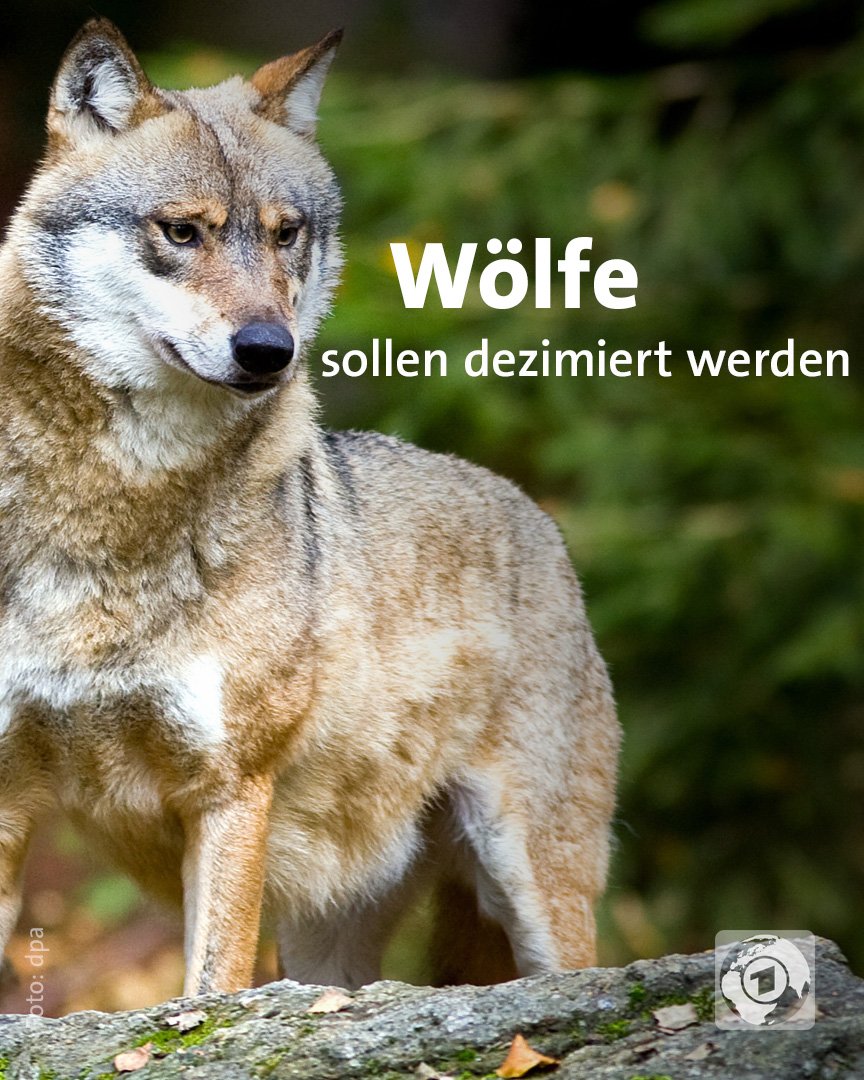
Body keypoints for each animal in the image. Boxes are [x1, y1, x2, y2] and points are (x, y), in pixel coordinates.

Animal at [0, 19, 620, 997]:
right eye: (183, 231)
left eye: (286, 234)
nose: (269, 349)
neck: (113, 507)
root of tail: (536, 516)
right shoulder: (9, 795)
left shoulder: (230, 789)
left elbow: (212, 986)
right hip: (327, 944)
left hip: (532, 890)